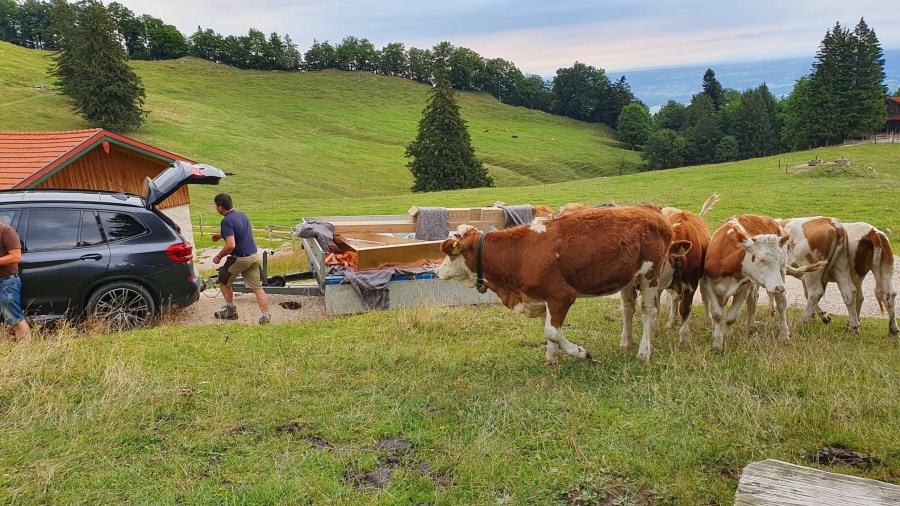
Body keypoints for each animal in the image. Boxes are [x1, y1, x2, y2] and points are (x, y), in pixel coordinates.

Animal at [436, 204, 688, 362]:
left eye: (450, 254)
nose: (438, 271)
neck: (520, 253)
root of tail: (650, 209)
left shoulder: (561, 295)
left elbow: (552, 331)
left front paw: (580, 352)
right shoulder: (543, 297)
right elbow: (548, 329)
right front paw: (552, 358)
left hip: (650, 274)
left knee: (648, 311)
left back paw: (643, 352)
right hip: (628, 277)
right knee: (628, 307)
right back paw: (625, 343)